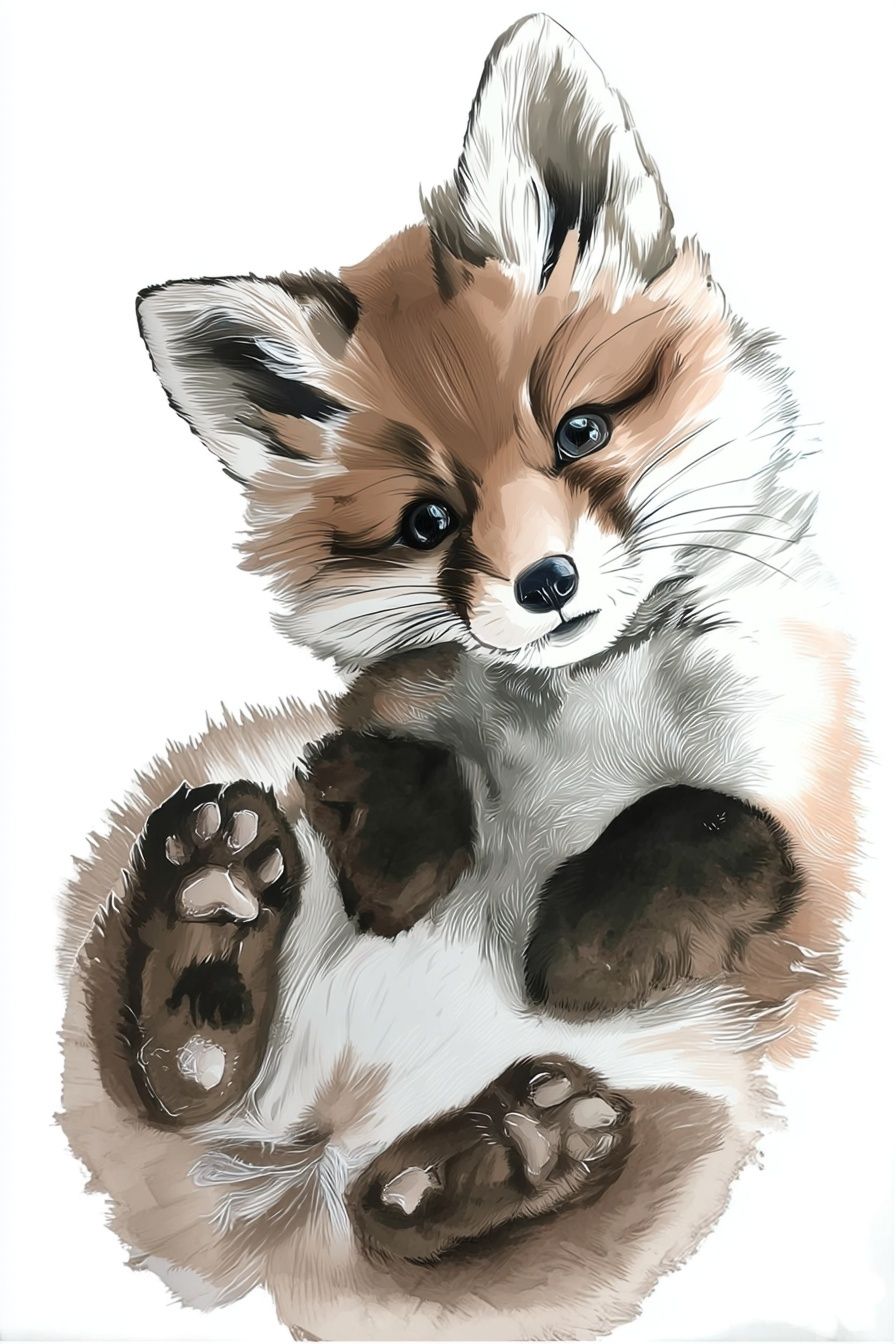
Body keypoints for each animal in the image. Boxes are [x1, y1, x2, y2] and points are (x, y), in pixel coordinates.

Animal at [59, 13, 862, 1342]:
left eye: (580, 432)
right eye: (428, 520)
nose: (544, 582)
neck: (585, 709)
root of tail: (289, 1188)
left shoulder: (812, 869)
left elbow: (706, 818)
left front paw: (582, 945)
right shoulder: (361, 718)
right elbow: (396, 753)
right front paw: (406, 859)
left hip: (700, 1118)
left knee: (401, 1209)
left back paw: (514, 1149)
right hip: (203, 805)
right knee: (177, 1083)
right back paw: (212, 945)